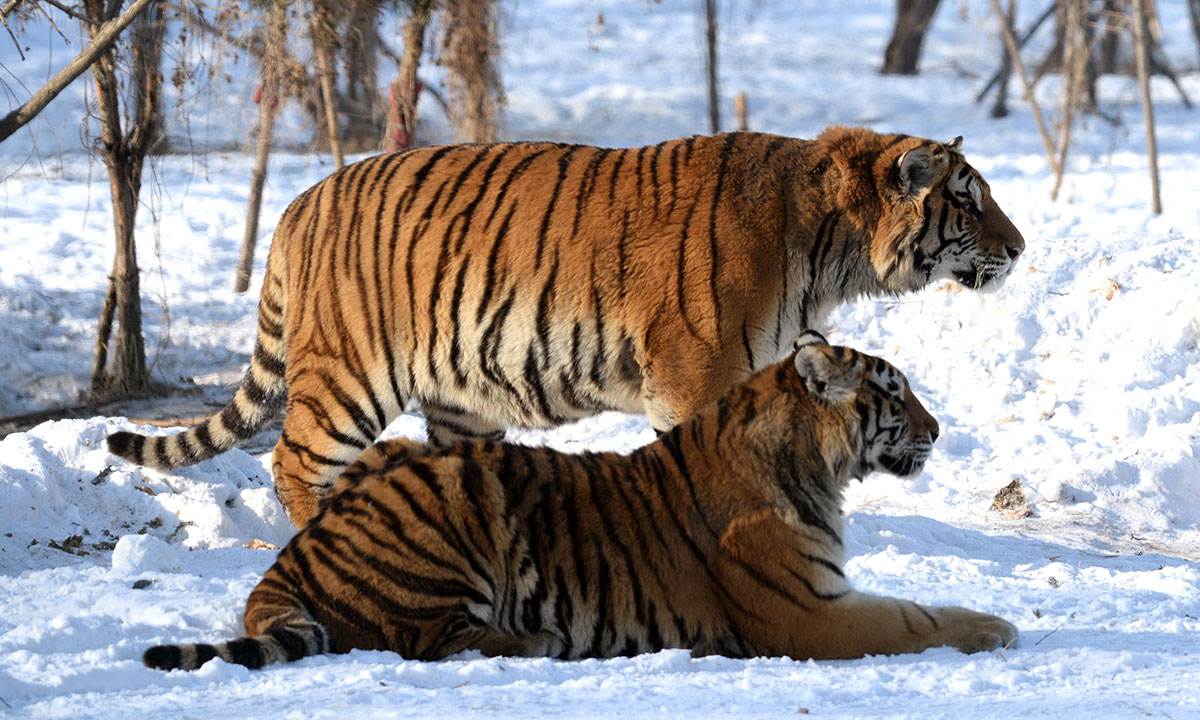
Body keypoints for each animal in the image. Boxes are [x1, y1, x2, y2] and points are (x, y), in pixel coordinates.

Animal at [108, 126, 1022, 525]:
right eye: (968, 199)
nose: (1019, 248)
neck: (833, 247)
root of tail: (300, 201)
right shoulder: (694, 375)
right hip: (348, 378)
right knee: (293, 463)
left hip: (461, 399)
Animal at [142, 331, 1022, 667]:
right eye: (894, 393)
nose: (938, 429)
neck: (812, 465)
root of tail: (298, 551)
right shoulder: (807, 612)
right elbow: (916, 617)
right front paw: (998, 627)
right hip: (449, 501)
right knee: (424, 640)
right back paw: (535, 640)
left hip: (399, 456)